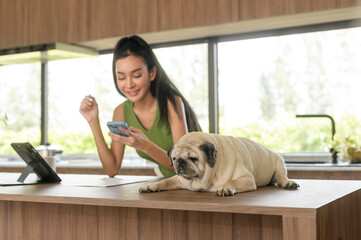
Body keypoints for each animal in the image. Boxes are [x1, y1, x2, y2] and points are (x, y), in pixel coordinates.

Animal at [139, 132, 298, 196]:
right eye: (174, 158)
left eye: (194, 158)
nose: (181, 162)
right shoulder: (179, 180)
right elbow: (165, 182)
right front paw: (151, 186)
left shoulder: (246, 179)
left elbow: (232, 182)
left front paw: (225, 188)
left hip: (279, 163)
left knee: (282, 177)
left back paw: (289, 183)